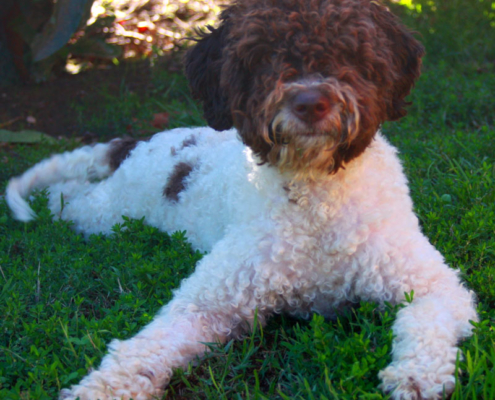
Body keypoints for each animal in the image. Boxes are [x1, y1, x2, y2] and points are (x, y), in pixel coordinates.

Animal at [4, 0, 476, 400]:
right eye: (263, 55)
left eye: (349, 50)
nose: (311, 102)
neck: (312, 200)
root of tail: (138, 143)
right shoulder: (208, 301)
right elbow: (146, 346)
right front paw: (99, 389)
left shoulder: (432, 283)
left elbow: (427, 319)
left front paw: (416, 375)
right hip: (103, 213)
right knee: (67, 196)